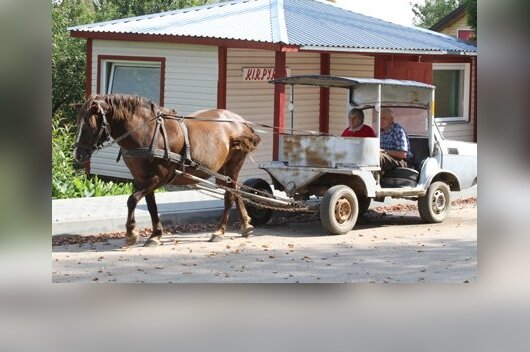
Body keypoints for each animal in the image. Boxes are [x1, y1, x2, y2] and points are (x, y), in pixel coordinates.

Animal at [73, 95, 260, 246]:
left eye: (89, 125)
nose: (78, 155)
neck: (146, 132)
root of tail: (241, 122)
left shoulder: (159, 177)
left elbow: (132, 200)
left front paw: (131, 232)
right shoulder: (142, 178)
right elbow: (151, 206)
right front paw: (155, 235)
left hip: (234, 164)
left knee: (230, 196)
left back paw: (220, 231)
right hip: (222, 170)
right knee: (235, 190)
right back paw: (246, 225)